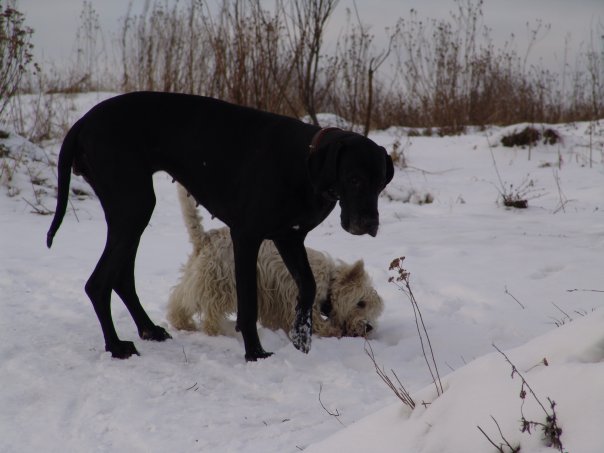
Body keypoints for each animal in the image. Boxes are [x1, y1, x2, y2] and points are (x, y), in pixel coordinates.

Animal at [167, 184, 384, 339]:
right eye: (361, 303)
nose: (368, 327)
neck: (330, 282)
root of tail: (206, 237)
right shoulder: (297, 300)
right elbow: (317, 323)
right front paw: (332, 331)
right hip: (219, 285)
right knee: (209, 314)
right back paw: (218, 332)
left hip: (199, 277)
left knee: (179, 299)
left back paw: (182, 323)